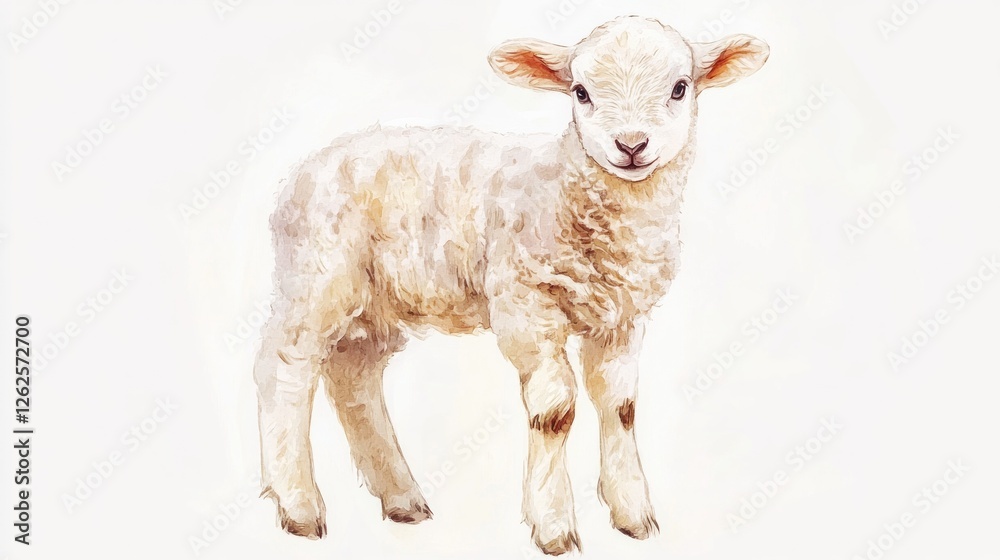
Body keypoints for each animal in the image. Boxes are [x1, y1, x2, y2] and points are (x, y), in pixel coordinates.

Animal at [254, 15, 769, 555]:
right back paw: (298, 505)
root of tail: (306, 168)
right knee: (284, 369)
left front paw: (632, 513)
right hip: (317, 277)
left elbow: (621, 406)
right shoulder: (525, 303)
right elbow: (555, 411)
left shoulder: (621, 316)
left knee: (354, 378)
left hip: (373, 301)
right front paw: (554, 525)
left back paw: (401, 498)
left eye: (679, 87)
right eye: (581, 92)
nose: (631, 145)